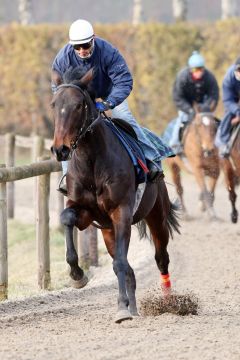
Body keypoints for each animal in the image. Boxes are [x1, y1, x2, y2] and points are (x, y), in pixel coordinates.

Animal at [50, 68, 180, 324]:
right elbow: (67, 218)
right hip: (108, 230)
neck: (92, 161)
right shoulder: (85, 211)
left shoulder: (121, 211)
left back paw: (168, 301)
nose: (60, 149)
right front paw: (77, 275)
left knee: (161, 258)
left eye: (78, 105)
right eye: (54, 104)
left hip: (156, 216)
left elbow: (120, 262)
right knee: (128, 267)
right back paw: (134, 308)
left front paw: (121, 308)